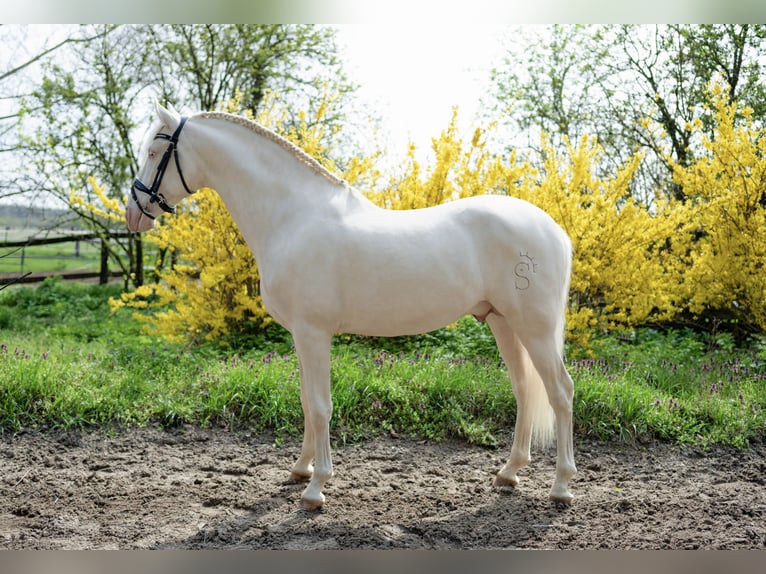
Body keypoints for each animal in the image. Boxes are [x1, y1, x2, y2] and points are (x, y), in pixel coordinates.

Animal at [126, 102, 577, 510]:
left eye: (155, 151)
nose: (134, 213)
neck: (293, 217)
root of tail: (554, 229)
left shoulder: (314, 333)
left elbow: (320, 406)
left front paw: (315, 489)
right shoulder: (300, 335)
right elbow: (306, 401)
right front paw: (300, 470)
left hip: (534, 328)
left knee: (560, 391)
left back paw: (561, 487)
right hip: (503, 323)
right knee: (524, 390)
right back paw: (509, 474)